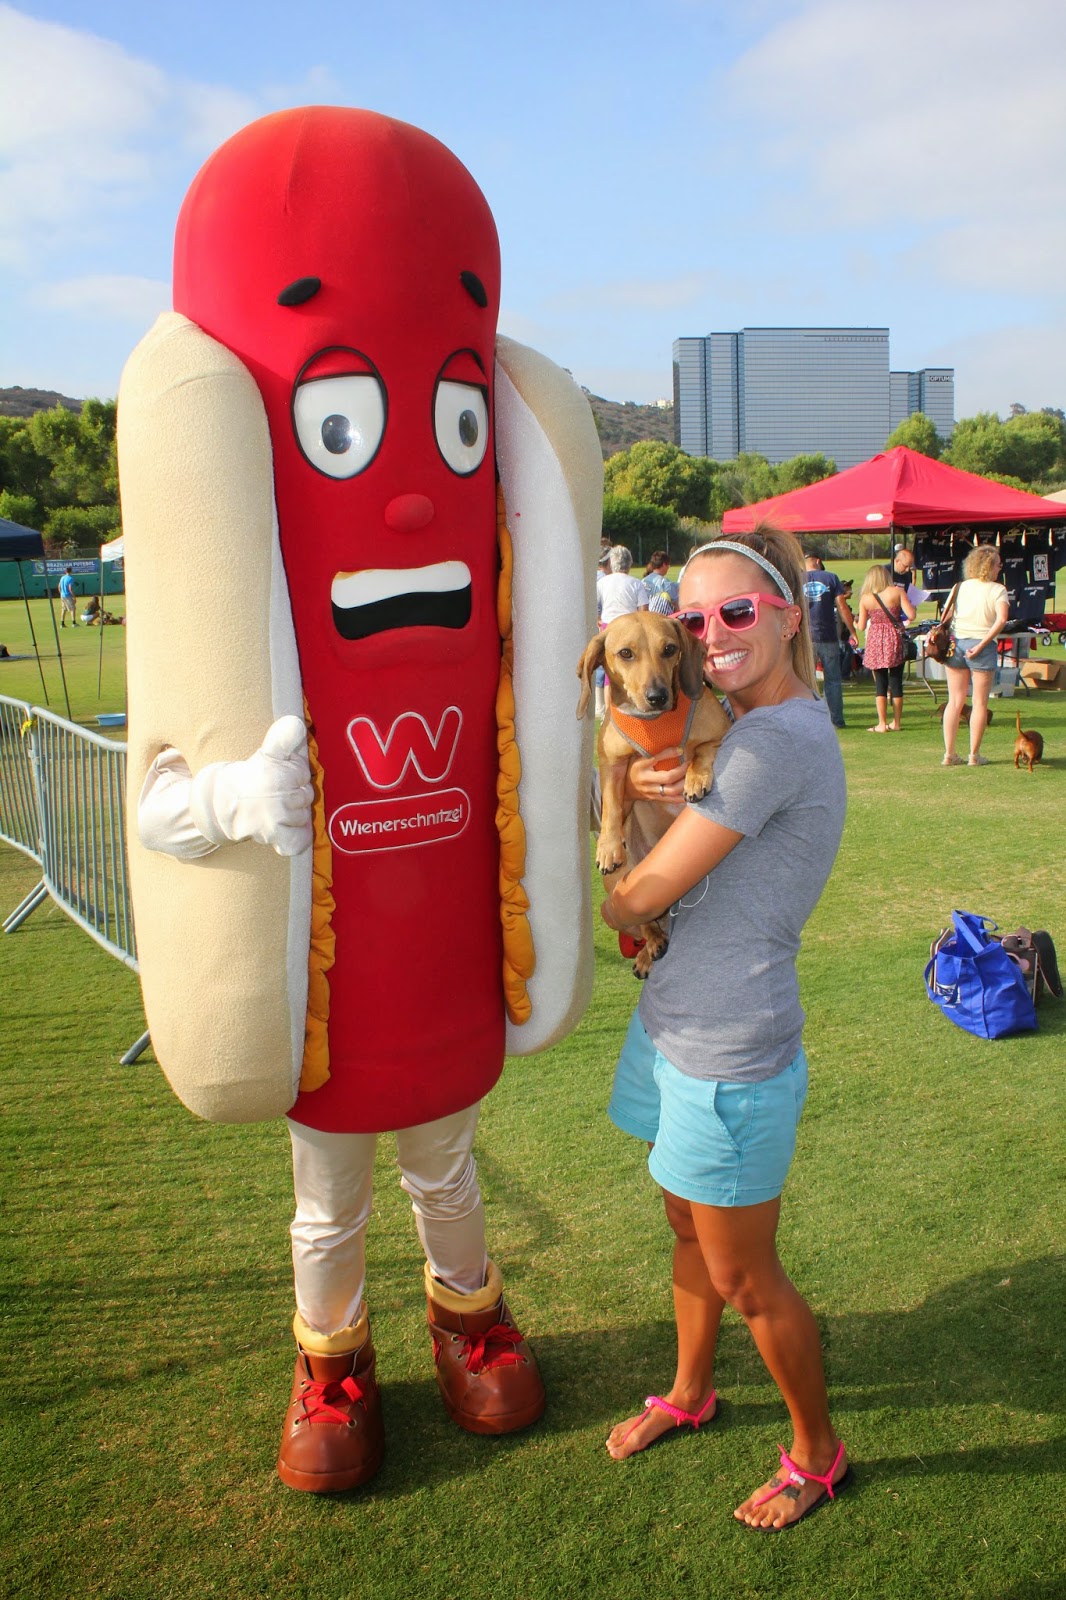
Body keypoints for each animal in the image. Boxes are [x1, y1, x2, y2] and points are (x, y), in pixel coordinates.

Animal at [573, 608, 729, 972]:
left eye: (669, 649)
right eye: (625, 653)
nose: (658, 696)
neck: (654, 723)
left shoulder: (719, 733)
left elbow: (700, 751)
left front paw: (696, 779)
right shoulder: (612, 765)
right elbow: (612, 806)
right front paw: (608, 846)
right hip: (620, 883)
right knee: (645, 925)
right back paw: (651, 946)